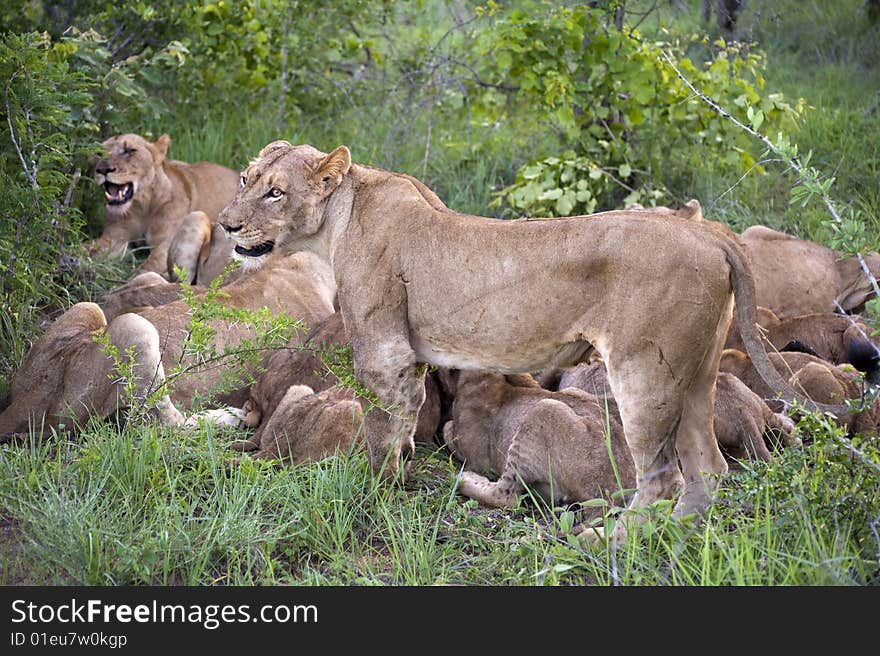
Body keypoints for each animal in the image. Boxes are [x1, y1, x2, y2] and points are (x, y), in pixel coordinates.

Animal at [217, 140, 844, 544]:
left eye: (275, 193)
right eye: (244, 180)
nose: (226, 224)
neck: (340, 219)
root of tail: (710, 233)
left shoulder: (382, 353)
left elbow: (377, 432)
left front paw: (366, 492)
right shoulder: (408, 359)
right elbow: (403, 425)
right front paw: (397, 478)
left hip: (644, 371)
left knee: (663, 476)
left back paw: (610, 540)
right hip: (698, 373)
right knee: (709, 470)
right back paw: (676, 537)